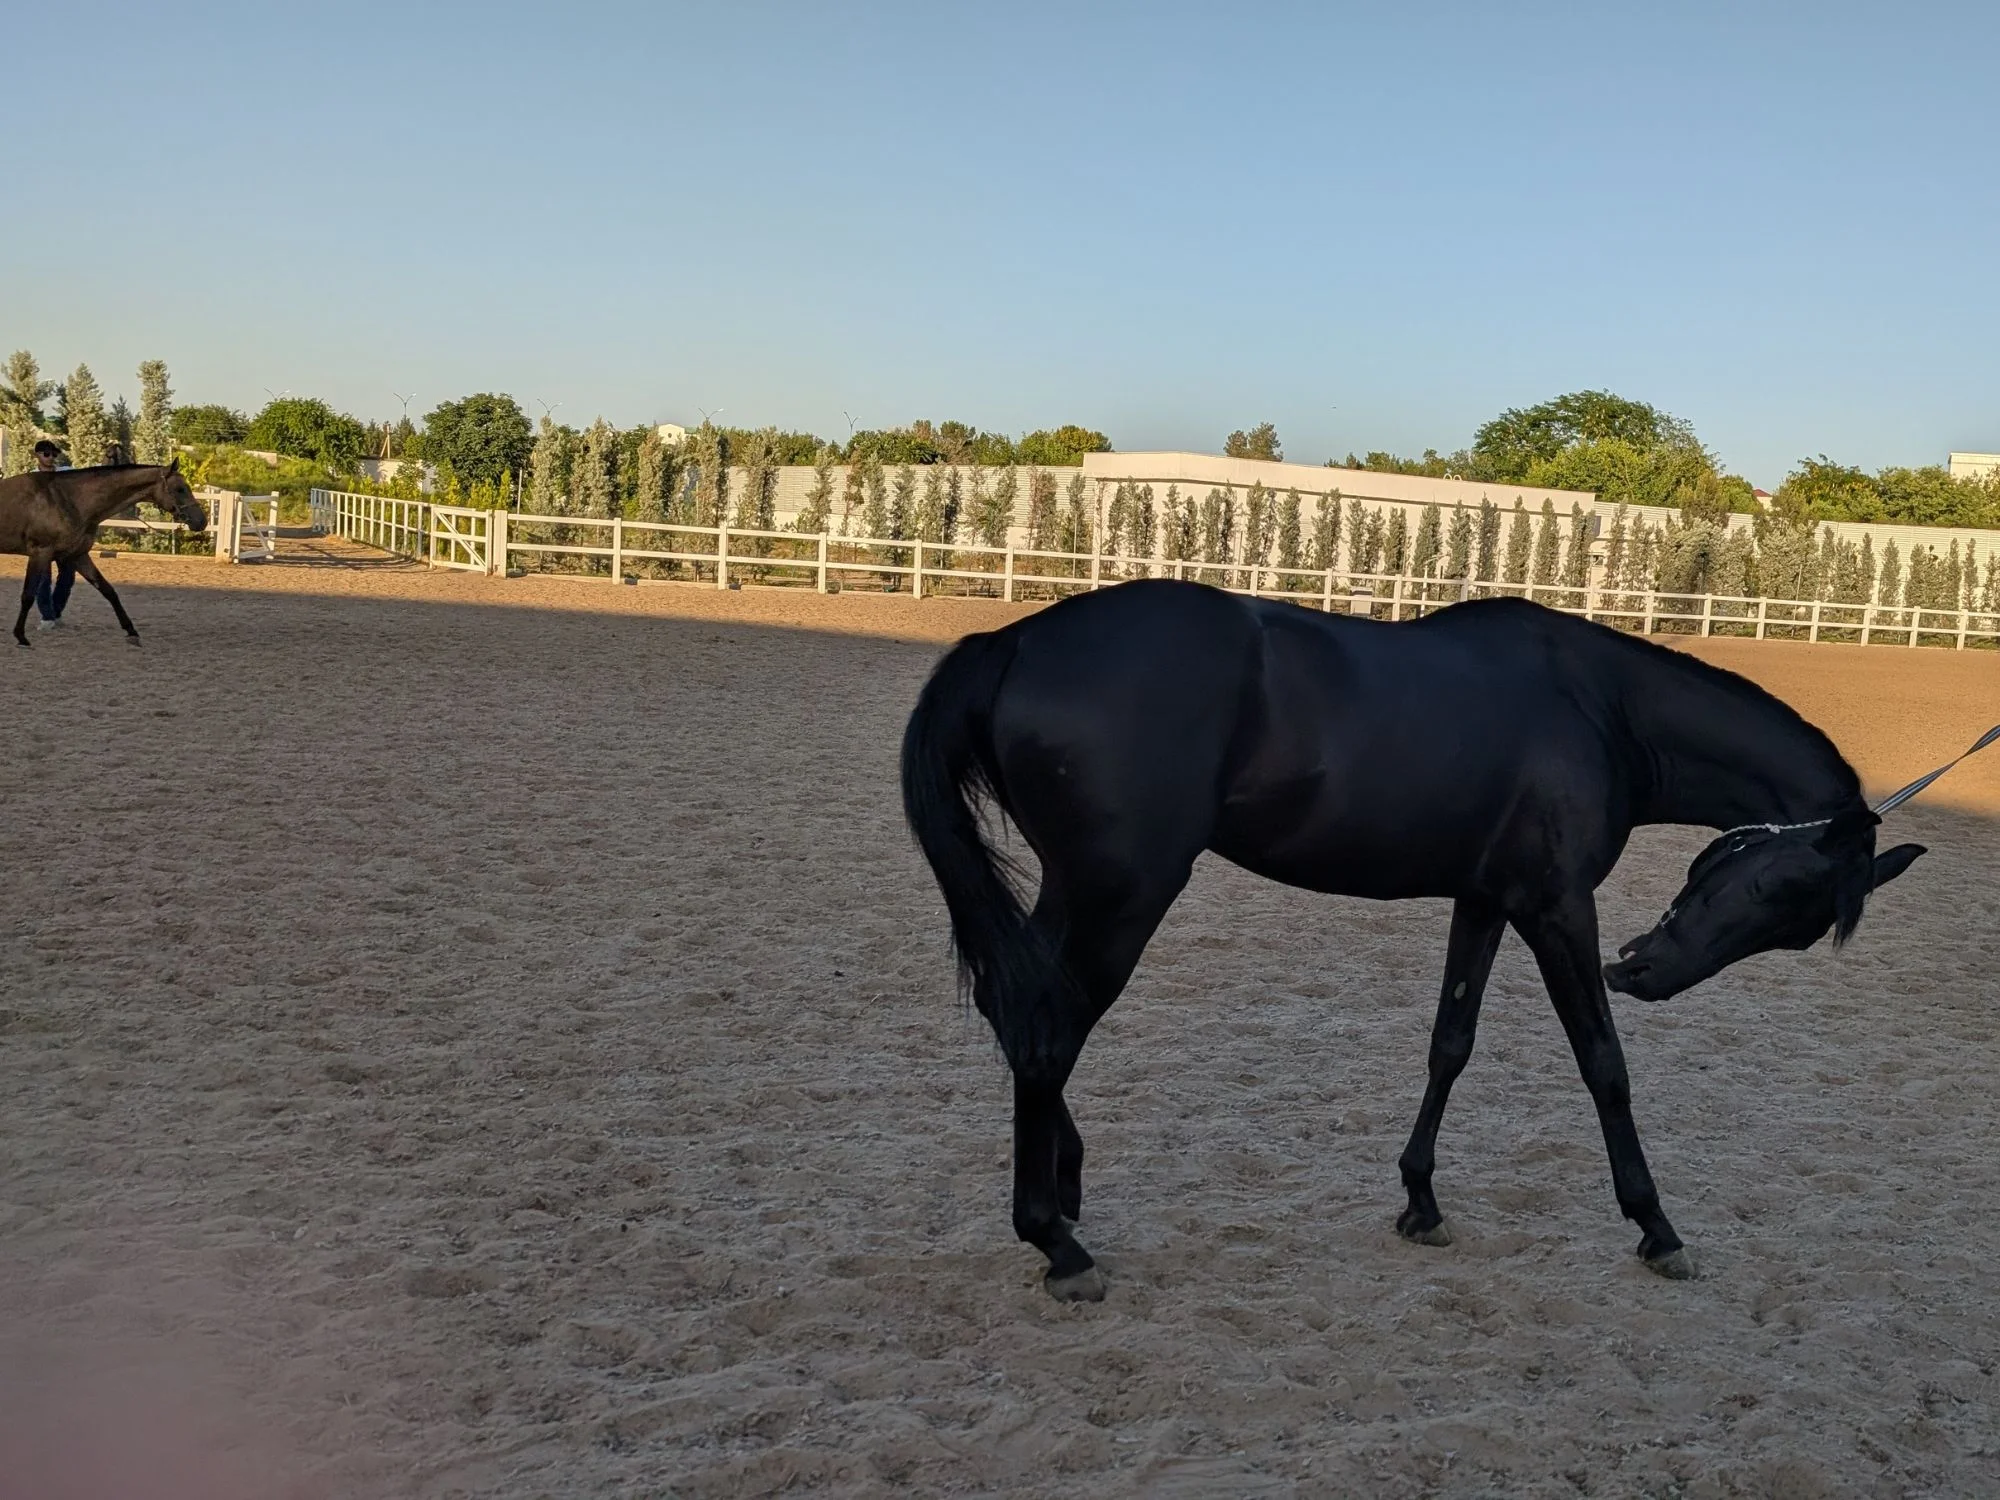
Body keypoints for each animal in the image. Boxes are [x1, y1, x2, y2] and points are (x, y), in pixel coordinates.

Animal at [0, 459, 209, 647]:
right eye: (180, 489)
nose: (202, 521)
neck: (67, 499)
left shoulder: (77, 555)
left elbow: (108, 591)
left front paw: (132, 632)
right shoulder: (40, 554)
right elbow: (28, 595)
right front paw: (20, 636)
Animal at [900, 580, 1926, 1301]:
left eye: (1793, 927)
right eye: (1781, 891)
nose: (1645, 972)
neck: (1600, 707)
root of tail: (1015, 640)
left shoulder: (1484, 900)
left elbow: (1451, 1044)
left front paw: (1420, 1200)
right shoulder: (1557, 908)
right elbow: (1604, 1064)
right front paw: (1656, 1226)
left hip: (1080, 896)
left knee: (1020, 1011)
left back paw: (1066, 1185)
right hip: (1120, 894)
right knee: (1048, 1032)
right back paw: (1057, 1241)